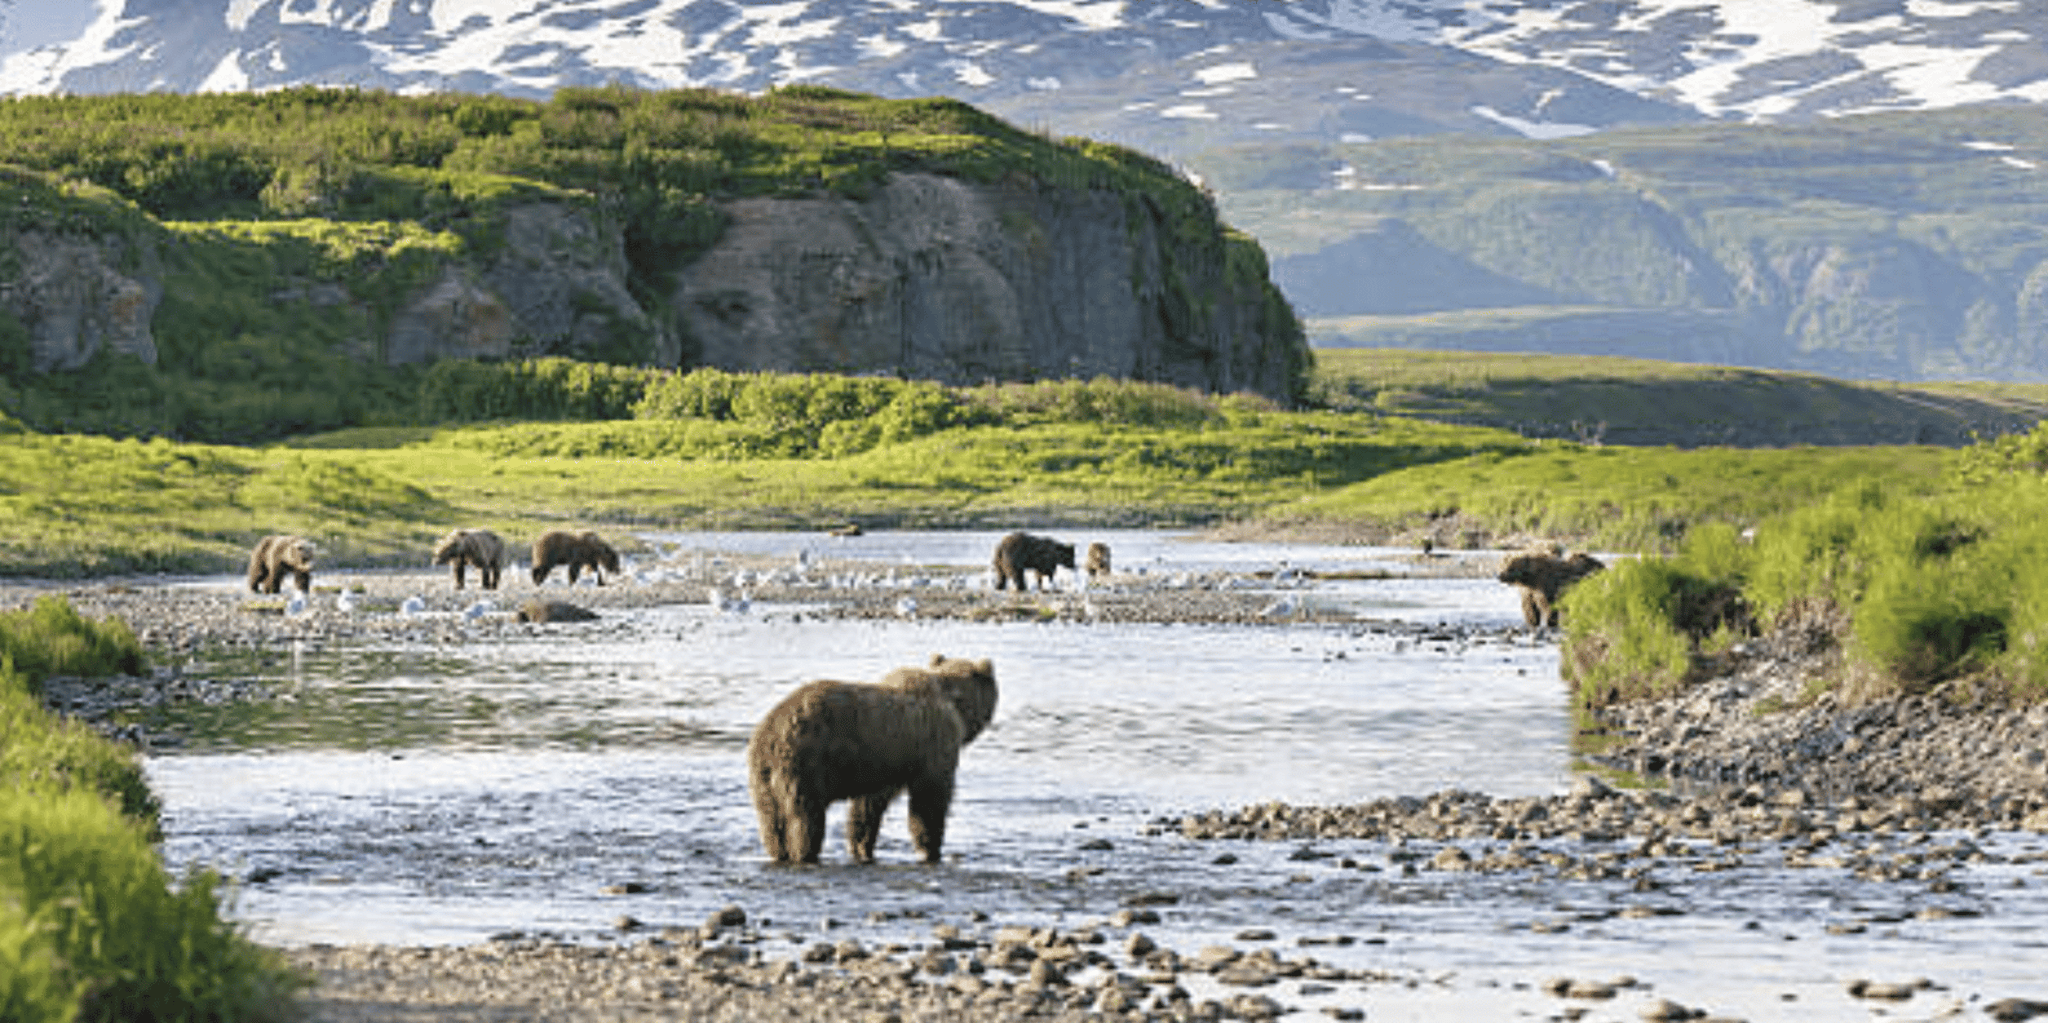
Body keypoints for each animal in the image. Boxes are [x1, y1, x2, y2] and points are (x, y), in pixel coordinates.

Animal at [747, 654, 999, 865]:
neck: (955, 704)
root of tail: (770, 734)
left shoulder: (884, 765)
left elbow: (868, 806)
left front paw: (862, 848)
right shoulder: (932, 747)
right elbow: (930, 800)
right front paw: (931, 850)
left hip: (763, 777)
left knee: (771, 821)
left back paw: (778, 853)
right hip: (807, 764)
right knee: (805, 818)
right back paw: (805, 854)